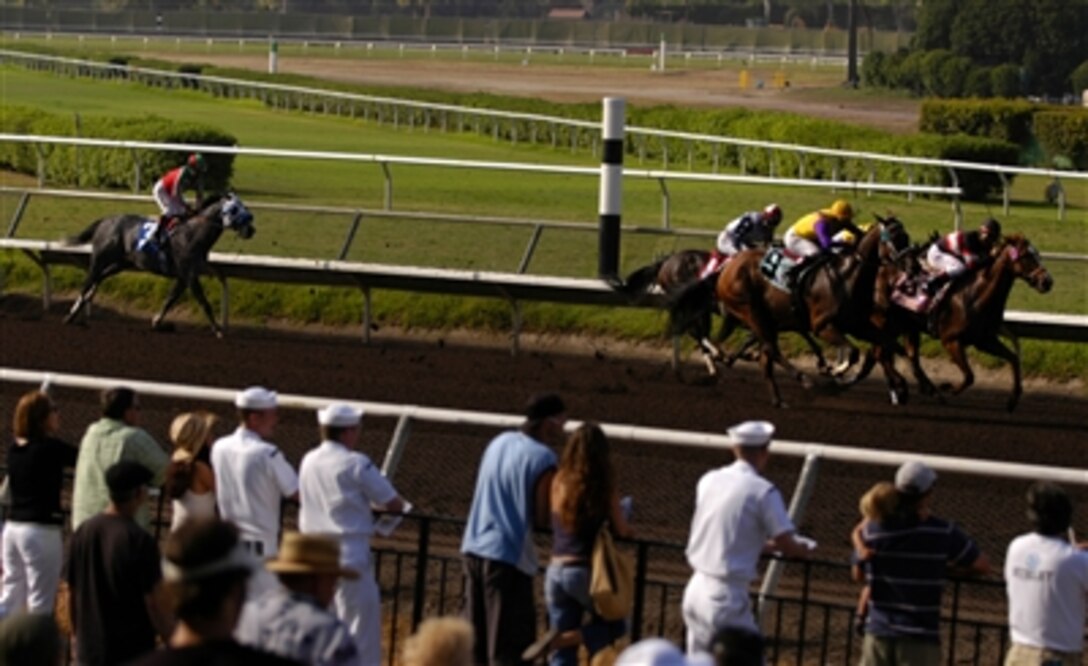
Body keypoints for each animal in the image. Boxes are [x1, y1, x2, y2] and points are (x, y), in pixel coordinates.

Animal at [62, 192, 254, 337]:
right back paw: (71, 314)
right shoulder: (190, 275)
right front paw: (219, 330)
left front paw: (156, 322)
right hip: (100, 258)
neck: (192, 235)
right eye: (234, 209)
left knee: (99, 278)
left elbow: (170, 300)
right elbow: (203, 302)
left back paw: (82, 303)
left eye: (243, 206)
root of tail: (105, 221)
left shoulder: (184, 277)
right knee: (88, 282)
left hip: (121, 263)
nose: (251, 229)